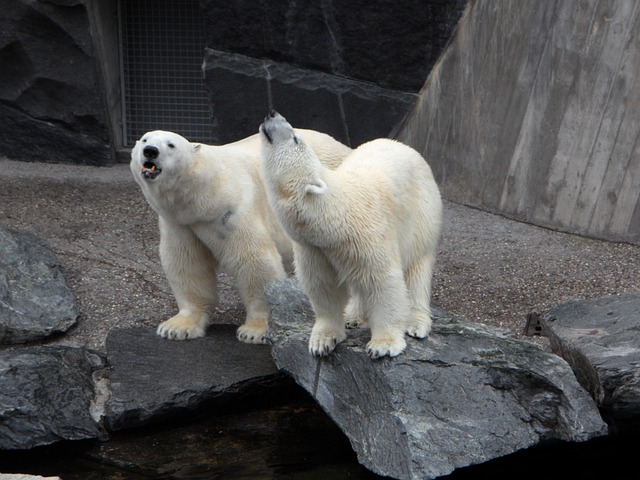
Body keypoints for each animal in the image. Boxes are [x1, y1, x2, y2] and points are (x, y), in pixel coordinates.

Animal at [129, 127, 350, 344]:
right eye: (145, 139)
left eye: (171, 144)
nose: (150, 151)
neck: (204, 195)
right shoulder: (181, 223)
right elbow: (187, 263)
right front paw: (176, 327)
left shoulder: (233, 209)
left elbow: (253, 262)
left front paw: (255, 331)